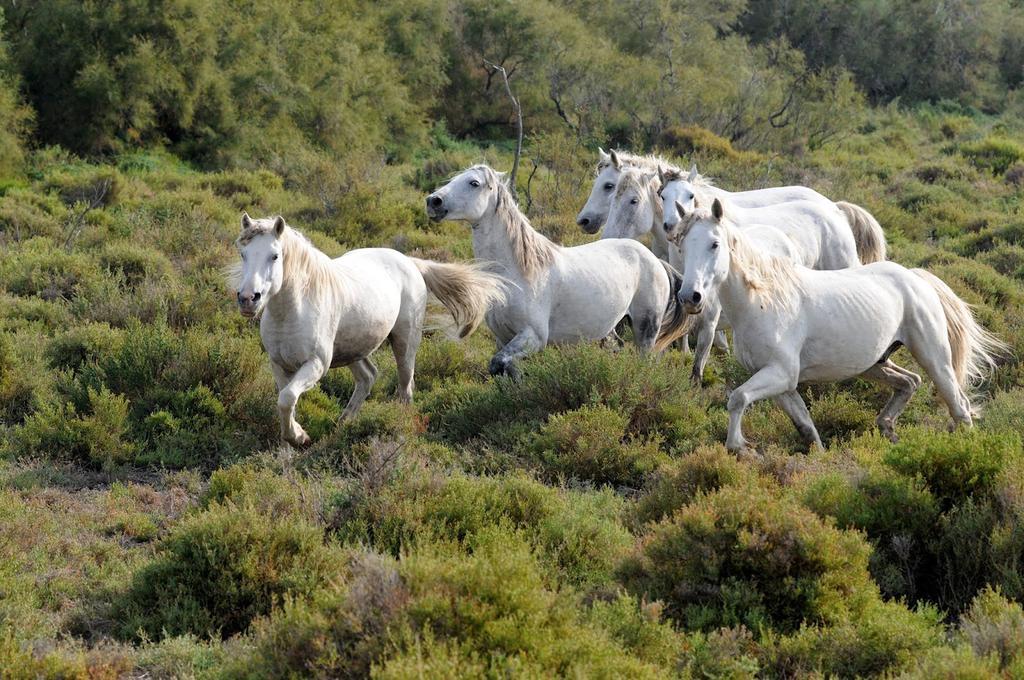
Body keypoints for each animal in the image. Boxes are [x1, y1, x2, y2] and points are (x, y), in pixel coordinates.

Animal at [232, 213, 503, 446]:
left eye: (275, 256)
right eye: (243, 254)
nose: (248, 299)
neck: (292, 311)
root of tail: (409, 262)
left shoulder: (316, 364)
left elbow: (287, 399)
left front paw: (299, 437)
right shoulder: (279, 364)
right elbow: (286, 401)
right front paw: (291, 440)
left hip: (405, 343)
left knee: (405, 386)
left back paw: (399, 426)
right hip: (354, 349)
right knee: (368, 377)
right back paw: (343, 423)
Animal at [423, 164, 688, 376]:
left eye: (474, 183)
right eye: (453, 178)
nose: (433, 201)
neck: (519, 273)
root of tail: (655, 260)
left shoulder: (534, 337)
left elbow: (499, 364)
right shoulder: (503, 338)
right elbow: (505, 371)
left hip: (646, 329)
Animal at [675, 196, 1003, 450]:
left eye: (714, 244)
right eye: (682, 247)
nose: (690, 297)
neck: (763, 300)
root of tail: (915, 277)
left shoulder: (781, 373)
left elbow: (738, 398)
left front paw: (740, 448)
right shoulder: (781, 384)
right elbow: (806, 426)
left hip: (934, 358)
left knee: (959, 407)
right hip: (875, 363)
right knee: (910, 382)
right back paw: (887, 429)